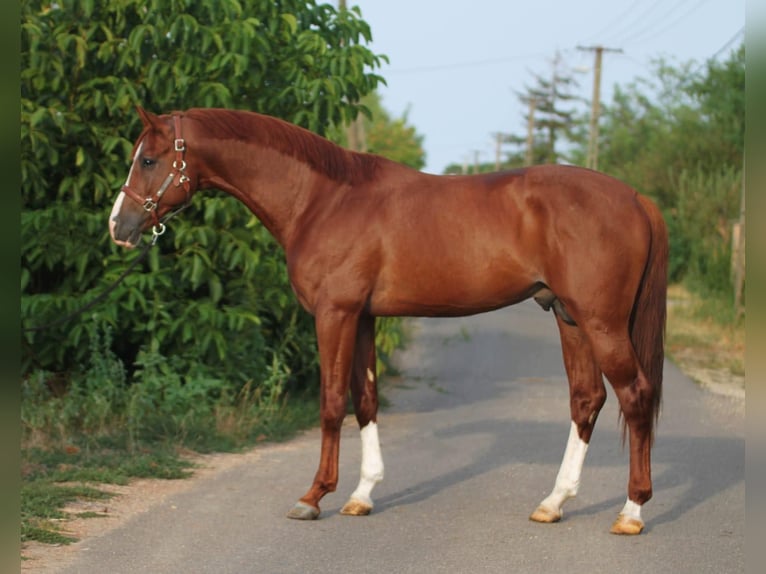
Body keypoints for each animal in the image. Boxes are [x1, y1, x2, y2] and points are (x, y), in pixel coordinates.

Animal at [111, 107, 668, 536]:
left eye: (149, 159)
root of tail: (635, 198)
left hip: (601, 323)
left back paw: (631, 512)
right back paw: (553, 503)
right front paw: (362, 495)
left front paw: (313, 497)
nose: (119, 226)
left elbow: (332, 402)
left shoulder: (334, 314)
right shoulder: (361, 318)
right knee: (586, 399)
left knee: (635, 396)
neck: (323, 200)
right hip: (569, 318)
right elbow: (366, 400)